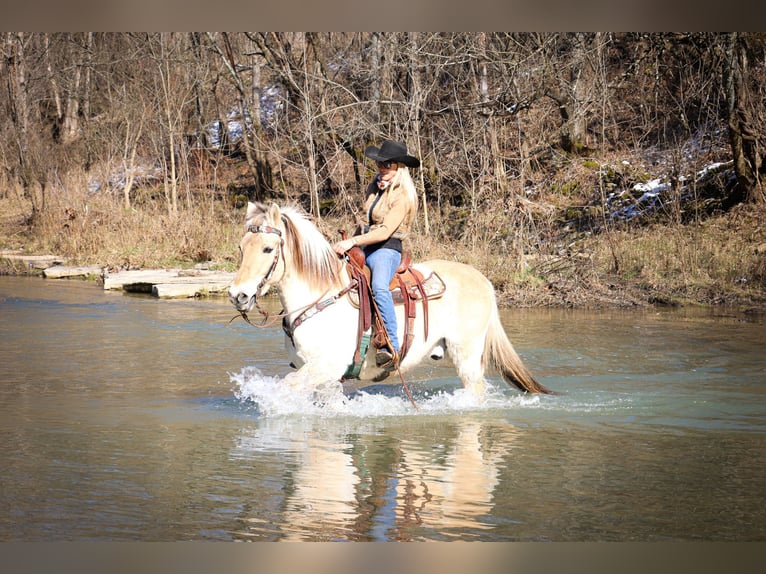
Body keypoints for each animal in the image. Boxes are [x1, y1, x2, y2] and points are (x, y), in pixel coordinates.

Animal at [228, 205, 552, 402]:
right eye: (241, 247)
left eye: (268, 249)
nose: (237, 295)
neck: (320, 297)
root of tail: (483, 280)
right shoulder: (323, 377)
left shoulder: (324, 367)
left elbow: (285, 388)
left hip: (467, 356)